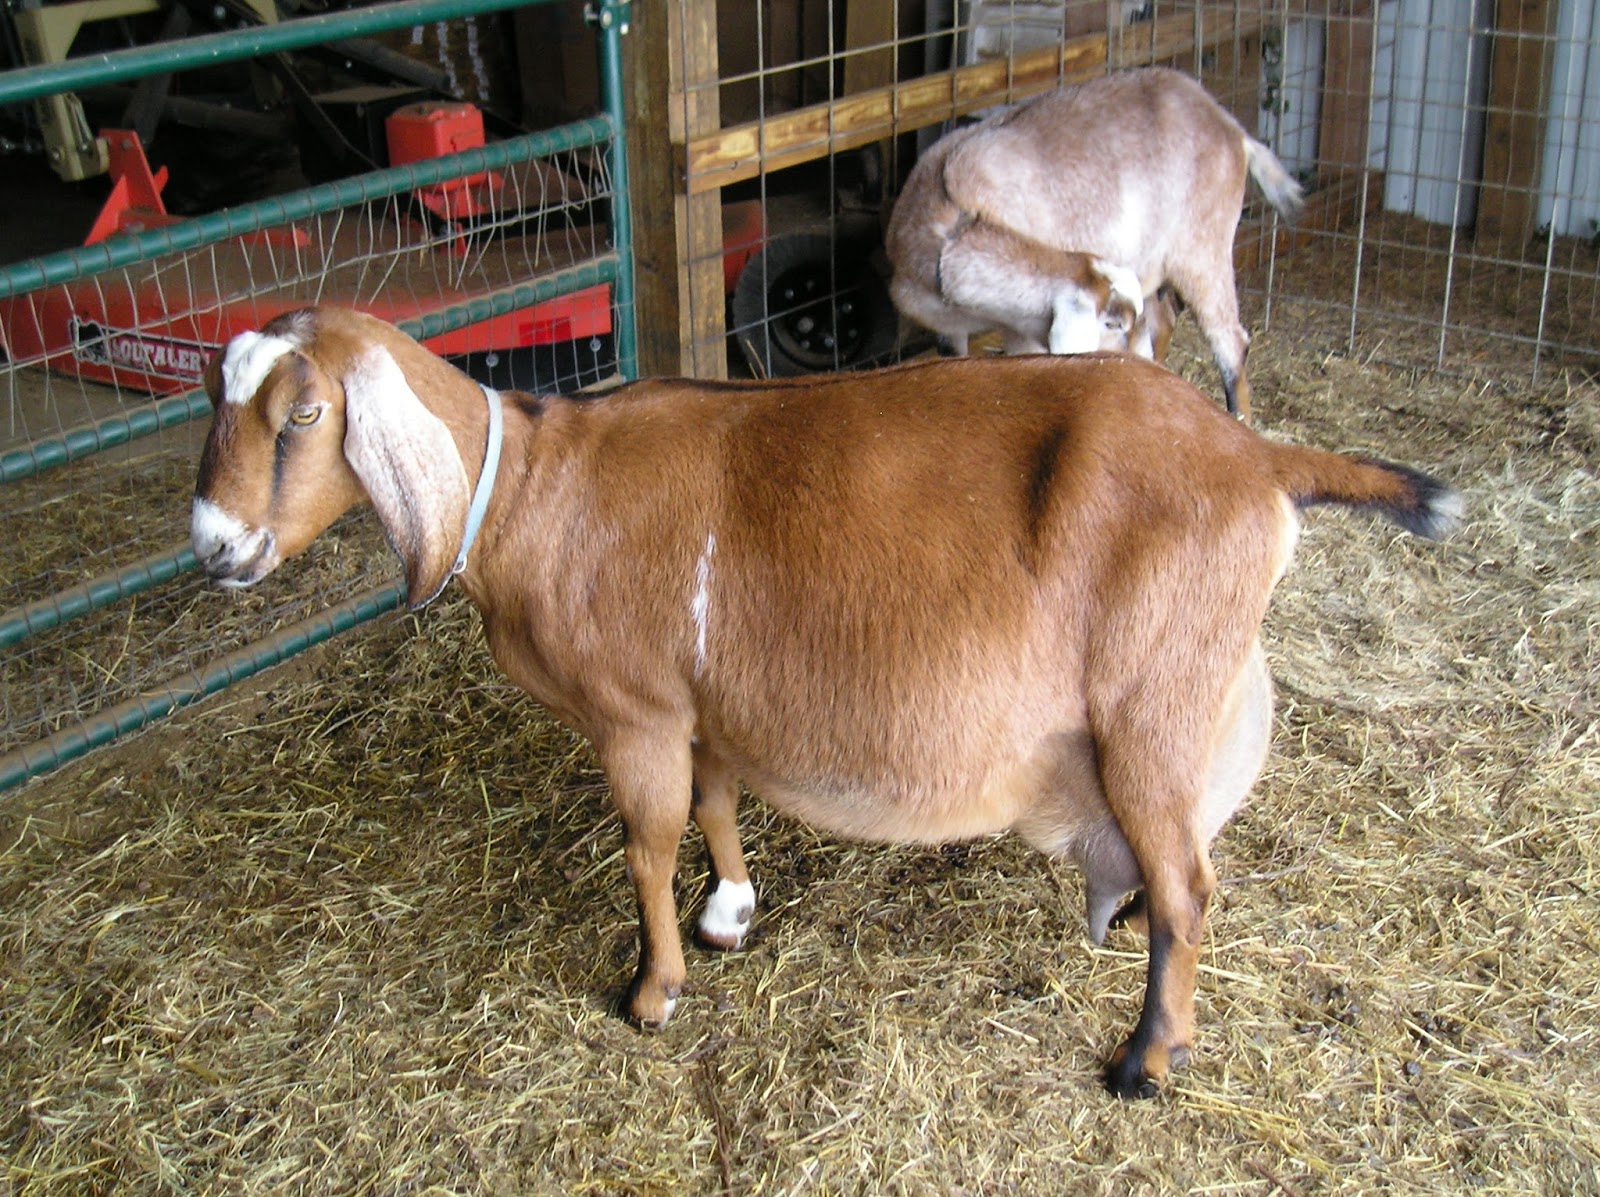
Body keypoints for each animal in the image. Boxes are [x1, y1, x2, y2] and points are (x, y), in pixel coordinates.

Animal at [190, 305, 1460, 1098]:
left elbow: (646, 843)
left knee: (1193, 885)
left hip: (1150, 702)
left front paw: (652, 992)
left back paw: (1147, 1060)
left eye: (302, 416)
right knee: (1185, 862)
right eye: (217, 402)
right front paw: (730, 911)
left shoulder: (636, 711)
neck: (532, 493)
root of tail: (1254, 457)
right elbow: (711, 808)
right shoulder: (697, 701)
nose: (212, 546)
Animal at [886, 66, 1305, 420]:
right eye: (1112, 323)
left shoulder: (1024, 331)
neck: (953, 225)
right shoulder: (950, 332)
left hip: (1203, 246)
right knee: (1166, 319)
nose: (1133, 363)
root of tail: (1232, 128)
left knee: (1231, 340)